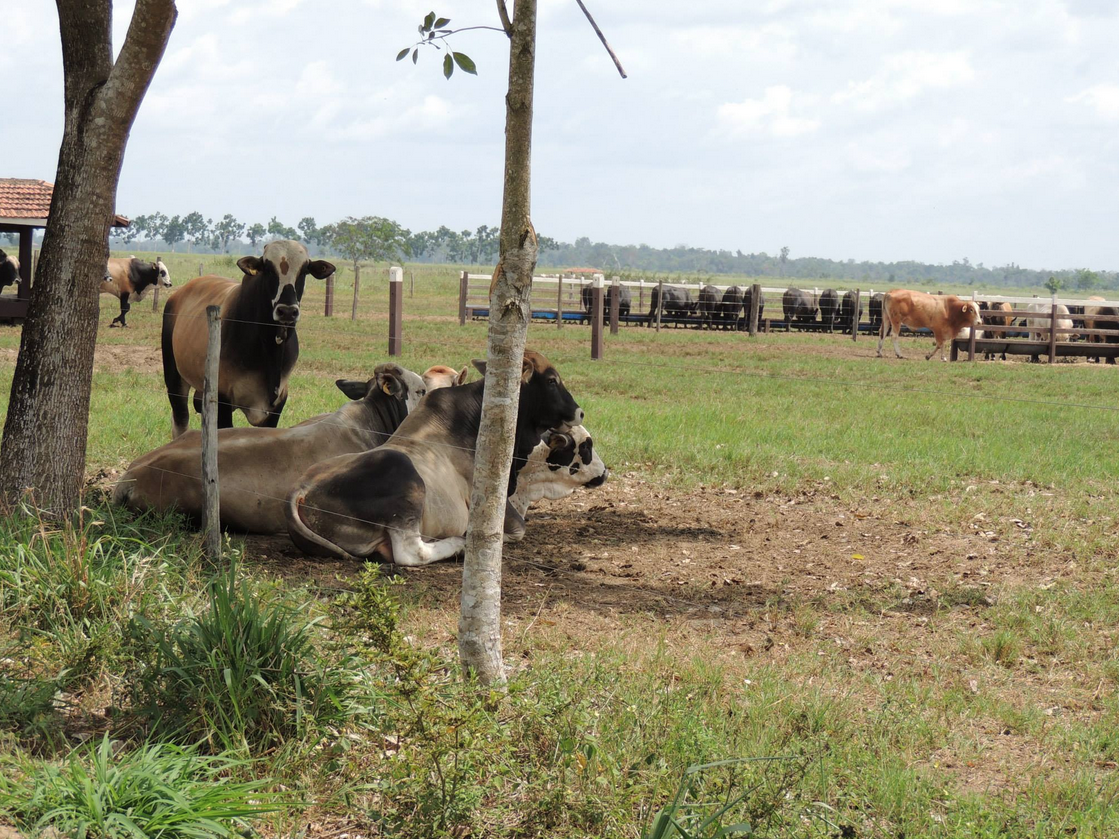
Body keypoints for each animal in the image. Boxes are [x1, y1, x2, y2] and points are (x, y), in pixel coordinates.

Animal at [162, 241, 333, 440]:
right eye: (268, 268)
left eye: (305, 270)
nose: (287, 311)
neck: (269, 347)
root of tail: (178, 294)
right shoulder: (222, 398)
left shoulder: (278, 403)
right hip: (175, 379)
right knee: (180, 421)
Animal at [284, 349, 586, 566]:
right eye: (551, 380)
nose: (580, 412)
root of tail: (301, 490)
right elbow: (516, 531)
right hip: (403, 477)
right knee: (411, 553)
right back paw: (458, 545)